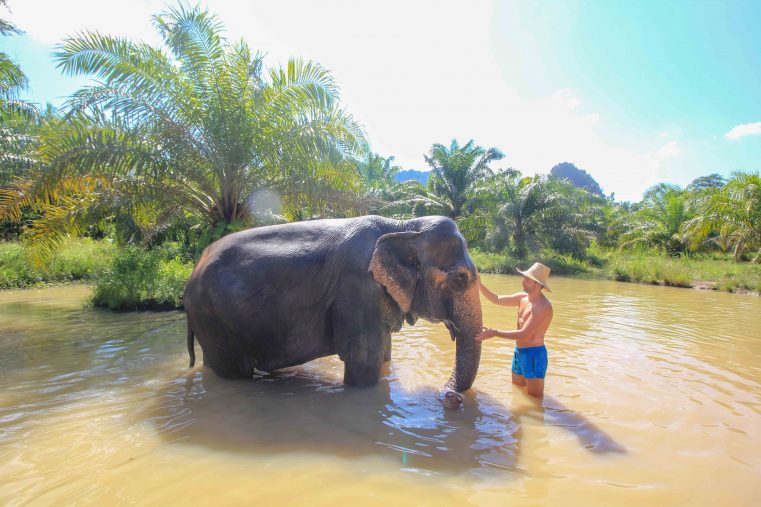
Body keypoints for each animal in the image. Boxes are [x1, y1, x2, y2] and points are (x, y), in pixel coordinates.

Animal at [183, 214, 480, 404]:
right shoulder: (357, 290)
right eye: (460, 279)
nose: (451, 398)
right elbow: (363, 366)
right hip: (211, 317)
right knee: (234, 372)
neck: (404, 225)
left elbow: (383, 357)